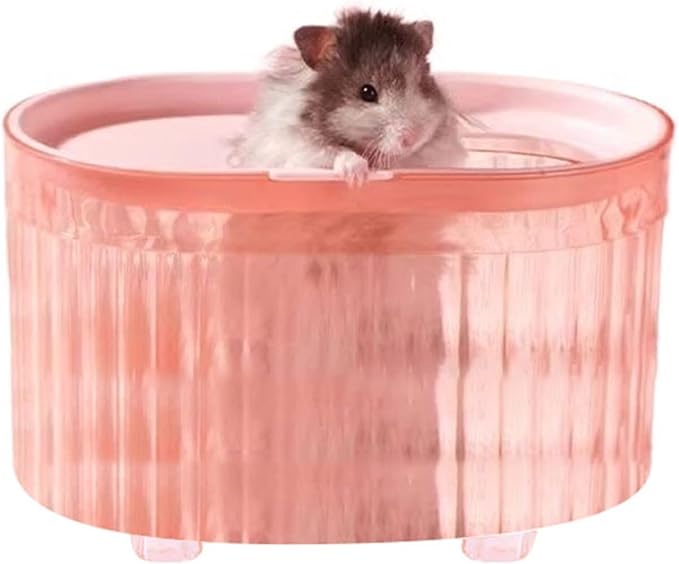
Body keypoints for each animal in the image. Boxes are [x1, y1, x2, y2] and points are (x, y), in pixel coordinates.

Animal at [228, 9, 467, 186]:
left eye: (421, 85)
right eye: (367, 92)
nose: (412, 139)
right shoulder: (298, 148)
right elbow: (334, 152)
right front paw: (357, 176)